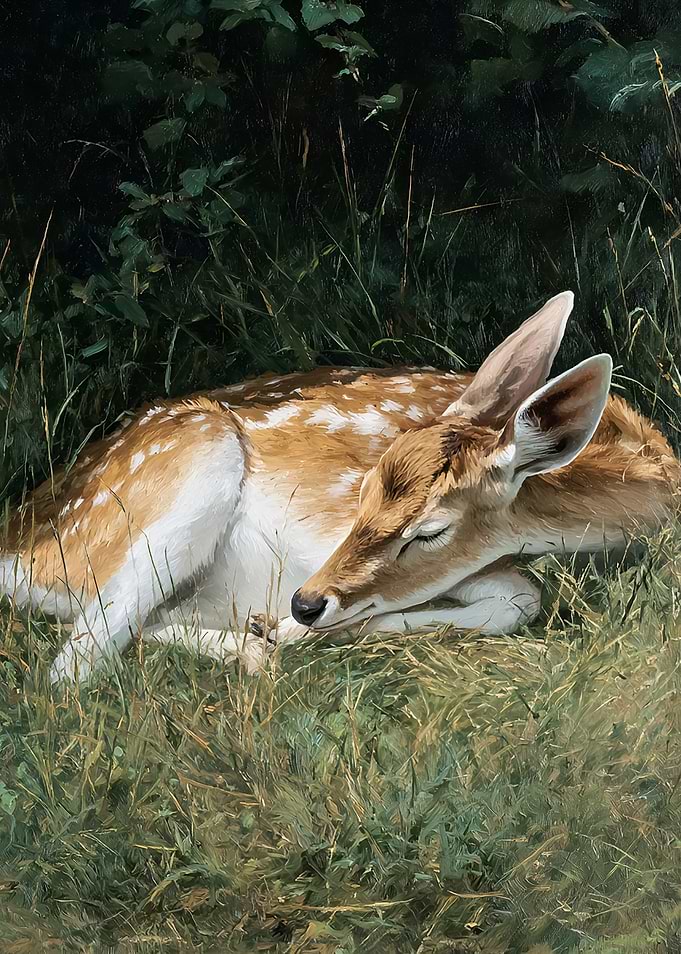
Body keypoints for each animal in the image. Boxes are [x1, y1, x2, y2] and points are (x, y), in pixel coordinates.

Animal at [1, 291, 679, 684]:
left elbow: (517, 595)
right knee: (72, 665)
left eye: (430, 531)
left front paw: (294, 628)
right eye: (363, 492)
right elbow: (520, 593)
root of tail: (18, 533)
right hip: (192, 468)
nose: (303, 604)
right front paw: (293, 629)